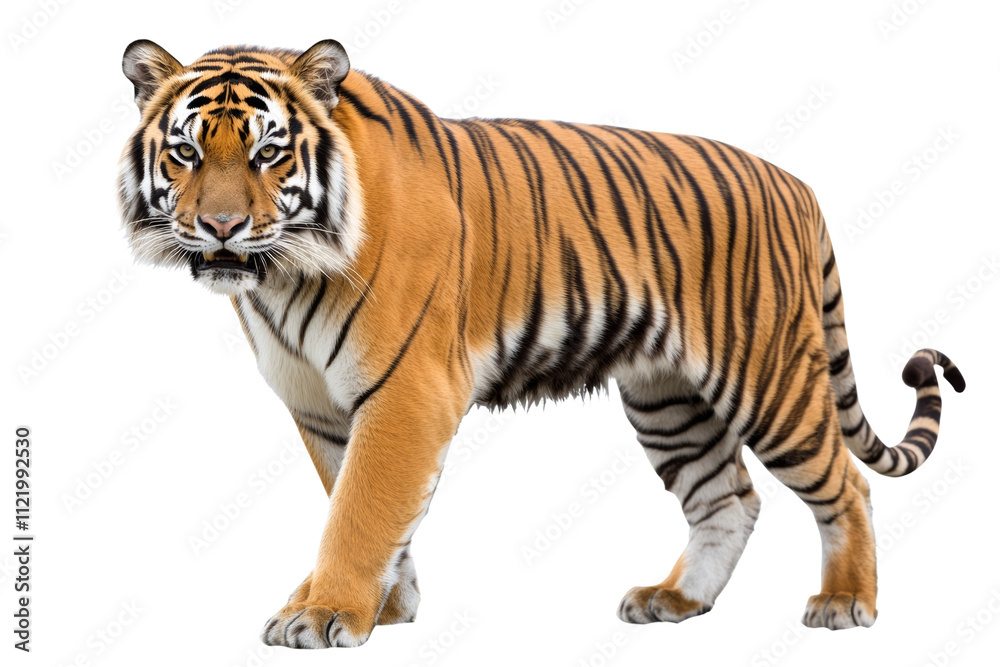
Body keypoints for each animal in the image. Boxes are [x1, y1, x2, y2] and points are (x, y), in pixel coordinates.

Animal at [117, 39, 965, 648]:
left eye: (269, 152)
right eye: (187, 152)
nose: (221, 226)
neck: (285, 274)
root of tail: (797, 185)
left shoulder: (405, 392)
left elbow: (361, 506)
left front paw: (326, 613)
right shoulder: (321, 405)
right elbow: (358, 500)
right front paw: (385, 605)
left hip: (767, 377)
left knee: (844, 485)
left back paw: (844, 601)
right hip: (670, 400)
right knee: (728, 497)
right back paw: (676, 599)